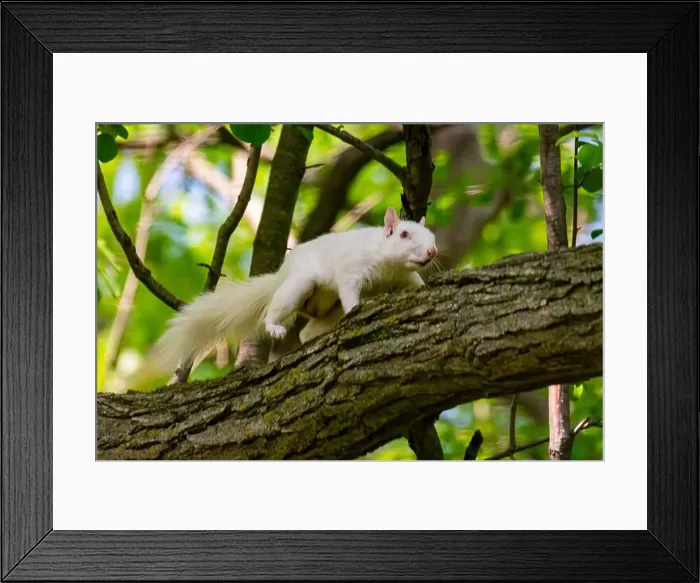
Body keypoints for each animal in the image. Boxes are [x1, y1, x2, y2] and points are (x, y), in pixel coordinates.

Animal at [149, 207, 438, 376]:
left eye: (432, 236)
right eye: (403, 234)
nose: (432, 251)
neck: (389, 269)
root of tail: (282, 273)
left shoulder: (405, 276)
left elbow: (416, 285)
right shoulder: (351, 269)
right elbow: (349, 292)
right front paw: (356, 309)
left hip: (326, 309)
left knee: (307, 331)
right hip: (300, 284)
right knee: (274, 310)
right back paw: (275, 327)